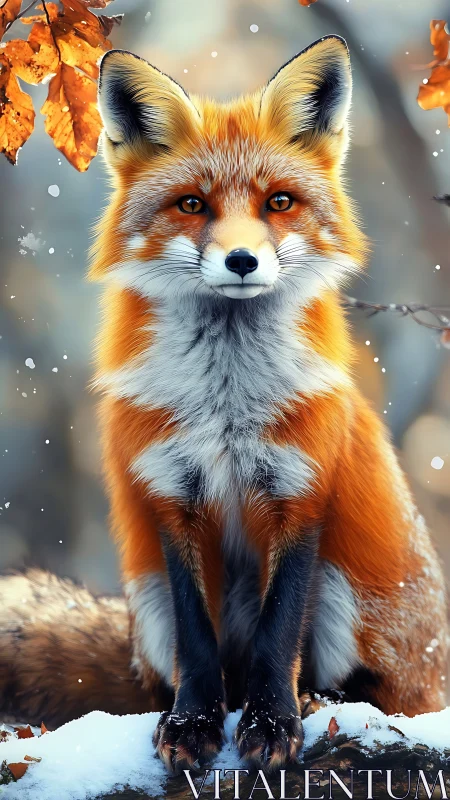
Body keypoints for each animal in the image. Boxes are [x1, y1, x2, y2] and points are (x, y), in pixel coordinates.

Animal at [0, 36, 446, 774]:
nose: (241, 260)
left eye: (279, 202)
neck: (226, 403)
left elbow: (277, 635)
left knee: (374, 691)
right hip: (148, 602)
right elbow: (198, 640)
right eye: (191, 205)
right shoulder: (170, 497)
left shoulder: (301, 493)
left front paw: (271, 724)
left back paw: (325, 705)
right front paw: (192, 724)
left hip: (350, 594)